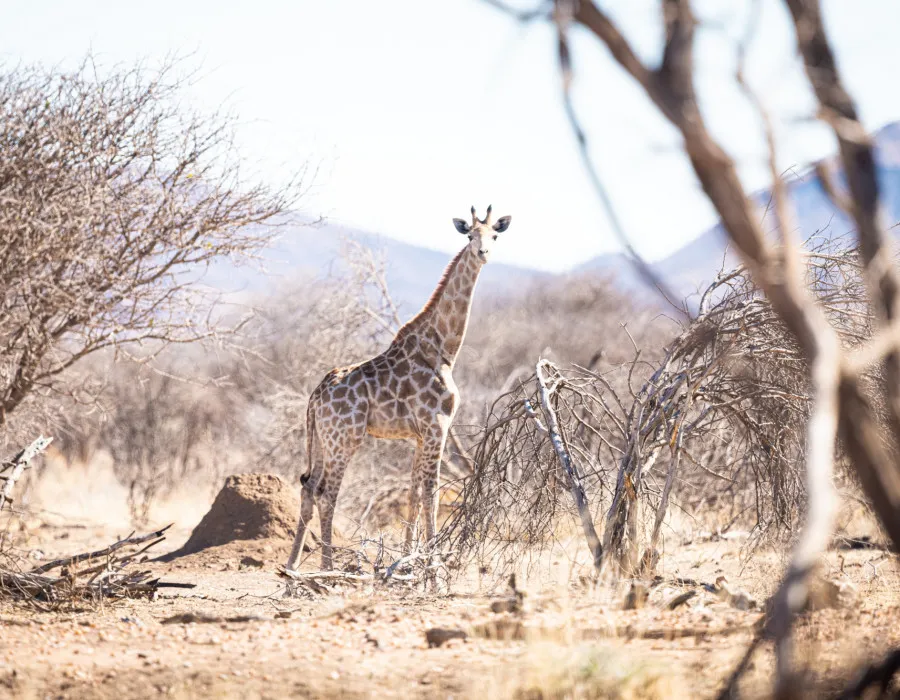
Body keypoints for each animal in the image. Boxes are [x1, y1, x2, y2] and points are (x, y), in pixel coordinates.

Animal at [285, 205, 512, 571]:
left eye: (494, 235)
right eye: (469, 236)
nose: (483, 253)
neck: (443, 349)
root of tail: (315, 396)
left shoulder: (419, 434)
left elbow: (413, 494)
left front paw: (409, 559)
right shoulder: (437, 426)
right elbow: (432, 493)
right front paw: (432, 567)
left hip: (320, 438)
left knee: (308, 487)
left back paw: (292, 567)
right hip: (344, 440)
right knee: (327, 494)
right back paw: (327, 568)